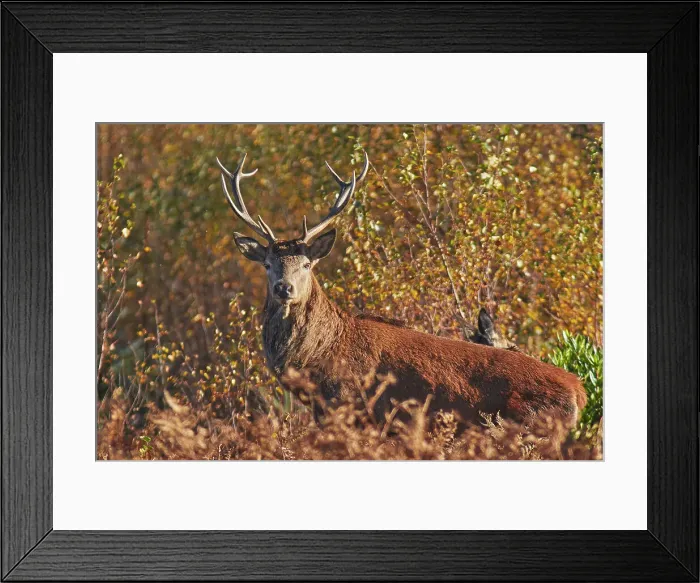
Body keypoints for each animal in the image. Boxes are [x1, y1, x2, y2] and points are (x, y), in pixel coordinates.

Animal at [216, 152, 586, 429]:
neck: (317, 360)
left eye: (307, 265)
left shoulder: (348, 407)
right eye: (267, 265)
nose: (284, 288)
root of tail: (579, 391)